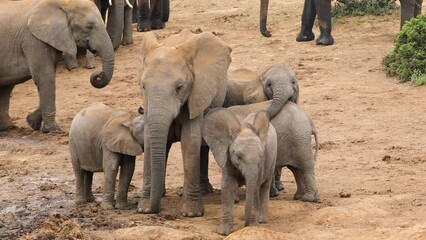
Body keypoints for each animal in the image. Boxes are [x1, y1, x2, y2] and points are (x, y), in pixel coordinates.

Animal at [0, 0, 115, 132]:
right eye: (89, 27)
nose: (98, 73)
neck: (64, 4)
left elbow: (47, 78)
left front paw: (32, 122)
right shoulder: (34, 40)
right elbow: (45, 77)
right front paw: (53, 129)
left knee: (7, 86)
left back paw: (8, 127)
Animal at [137, 29, 231, 217]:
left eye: (179, 87)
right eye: (143, 86)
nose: (154, 210)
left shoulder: (197, 93)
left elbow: (190, 141)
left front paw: (192, 214)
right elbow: (150, 141)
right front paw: (143, 209)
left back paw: (204, 191)